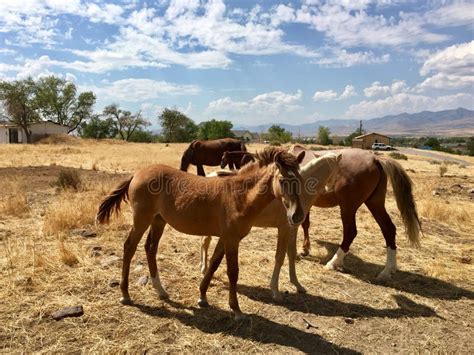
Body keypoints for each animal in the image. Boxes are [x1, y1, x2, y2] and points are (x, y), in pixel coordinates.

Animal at [95, 147, 308, 320]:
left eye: (300, 179)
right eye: (282, 180)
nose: (297, 216)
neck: (239, 196)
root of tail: (137, 174)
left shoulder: (225, 238)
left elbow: (213, 264)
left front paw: (202, 297)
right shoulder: (232, 239)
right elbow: (233, 272)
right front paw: (236, 310)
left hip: (158, 220)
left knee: (150, 248)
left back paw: (161, 291)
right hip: (142, 219)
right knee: (129, 247)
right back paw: (125, 294)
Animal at [288, 145, 422, 280]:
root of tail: (375, 159)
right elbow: (305, 224)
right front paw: (305, 249)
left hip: (348, 207)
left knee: (350, 232)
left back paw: (333, 263)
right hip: (375, 204)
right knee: (388, 229)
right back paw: (388, 271)